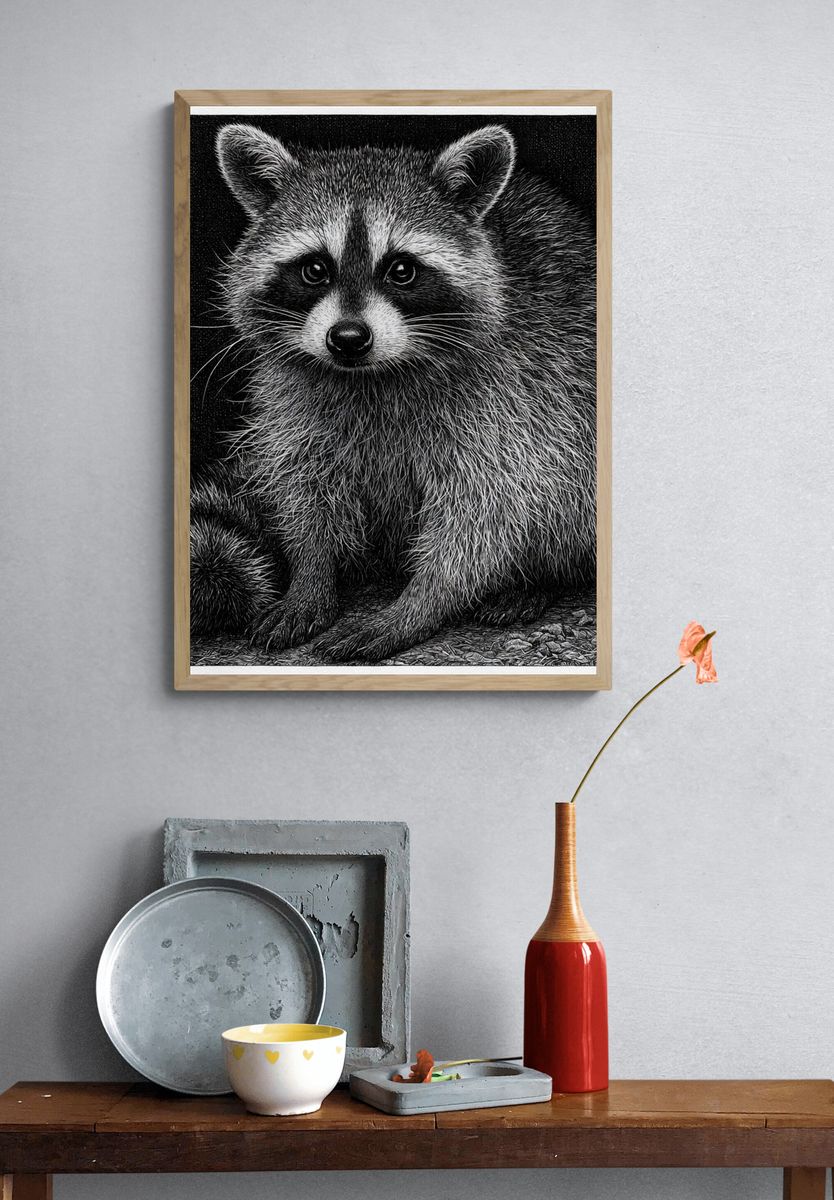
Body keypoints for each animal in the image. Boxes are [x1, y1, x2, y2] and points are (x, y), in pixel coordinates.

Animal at [201, 121, 596, 663]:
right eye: (315, 269)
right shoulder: (295, 399)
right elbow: (305, 486)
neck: (372, 375)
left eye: (401, 270)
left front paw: (419, 603)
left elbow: (487, 513)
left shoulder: (517, 397)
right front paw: (310, 576)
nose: (348, 338)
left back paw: (538, 581)